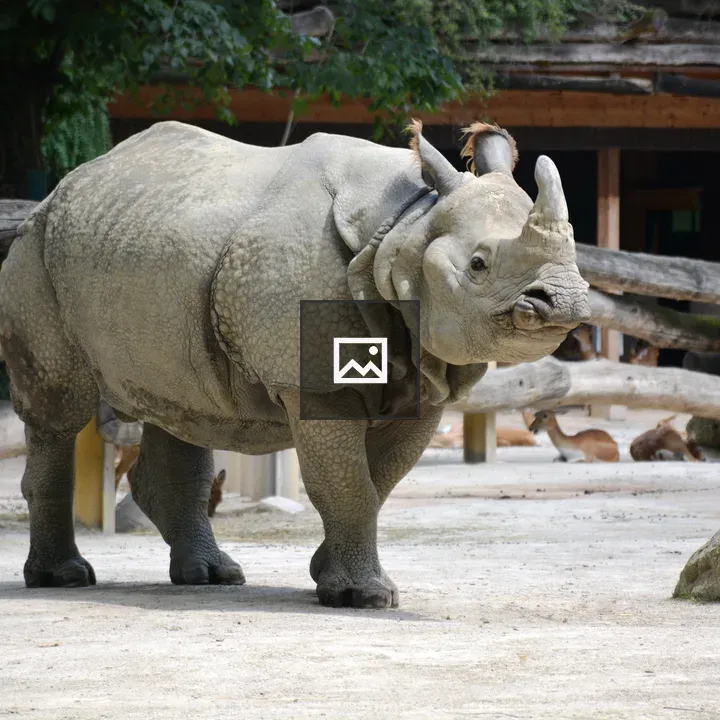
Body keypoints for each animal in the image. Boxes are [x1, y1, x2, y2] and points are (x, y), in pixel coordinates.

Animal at [0, 119, 589, 608]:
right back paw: (64, 579)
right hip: (37, 253)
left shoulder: (424, 384)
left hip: (143, 250)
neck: (403, 231)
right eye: (478, 265)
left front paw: (329, 574)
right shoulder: (314, 383)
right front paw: (364, 597)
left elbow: (377, 482)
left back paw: (212, 576)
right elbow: (349, 484)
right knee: (59, 411)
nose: (563, 302)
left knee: (181, 404)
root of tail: (62, 189)